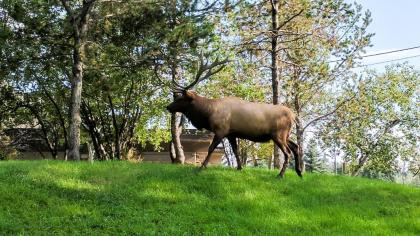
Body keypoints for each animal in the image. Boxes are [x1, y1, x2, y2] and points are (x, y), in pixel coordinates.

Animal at [166, 90, 304, 177]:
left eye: (181, 98)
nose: (168, 107)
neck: (208, 114)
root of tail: (293, 116)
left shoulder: (220, 130)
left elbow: (211, 148)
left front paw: (201, 167)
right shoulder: (231, 134)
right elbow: (236, 150)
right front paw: (239, 167)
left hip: (278, 135)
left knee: (288, 152)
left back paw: (280, 175)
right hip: (285, 136)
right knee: (296, 146)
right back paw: (299, 172)